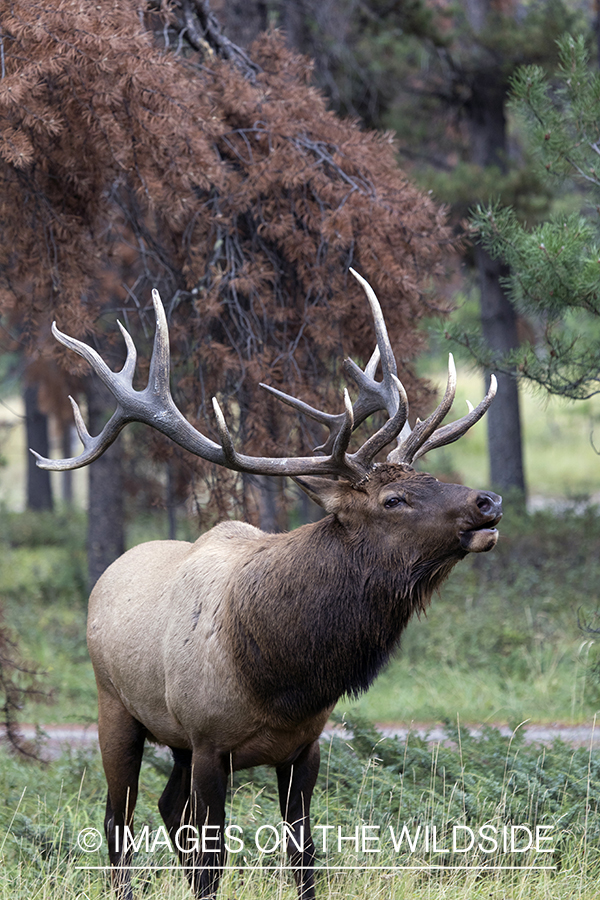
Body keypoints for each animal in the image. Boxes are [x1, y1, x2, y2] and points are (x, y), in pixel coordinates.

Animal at [34, 268, 502, 900]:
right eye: (393, 499)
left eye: (428, 476)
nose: (488, 501)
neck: (280, 675)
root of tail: (108, 573)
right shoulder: (210, 741)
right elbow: (212, 861)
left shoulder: (305, 746)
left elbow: (303, 857)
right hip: (117, 709)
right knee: (118, 817)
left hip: (174, 740)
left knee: (165, 807)